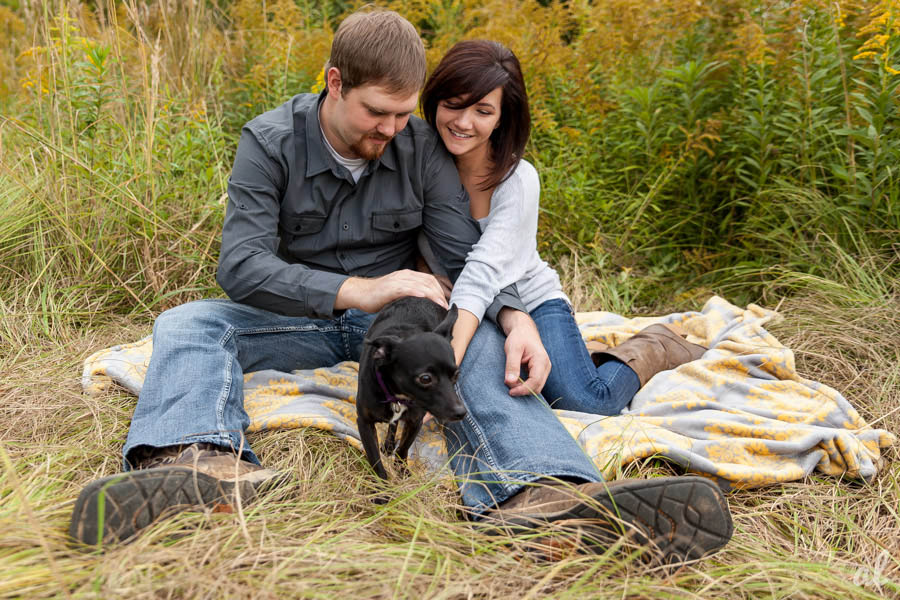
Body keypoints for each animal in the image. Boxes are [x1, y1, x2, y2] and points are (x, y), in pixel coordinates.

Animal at [356, 298, 468, 480]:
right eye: (425, 379)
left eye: (456, 374)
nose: (461, 412)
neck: (399, 396)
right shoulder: (365, 423)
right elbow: (375, 460)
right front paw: (381, 486)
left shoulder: (415, 422)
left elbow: (403, 449)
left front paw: (402, 471)